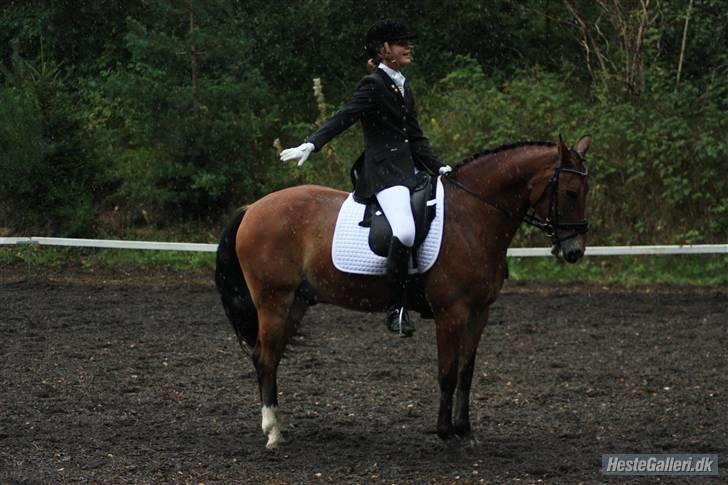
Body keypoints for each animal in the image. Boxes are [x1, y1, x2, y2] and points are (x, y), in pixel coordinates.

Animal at [215, 134, 591, 449]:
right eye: (571, 191)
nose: (575, 251)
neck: (472, 216)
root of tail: (252, 208)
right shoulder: (451, 313)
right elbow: (447, 373)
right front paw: (446, 433)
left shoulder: (479, 313)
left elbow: (466, 373)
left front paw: (466, 431)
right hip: (274, 301)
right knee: (265, 357)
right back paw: (273, 432)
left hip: (296, 302)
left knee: (269, 356)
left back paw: (276, 425)